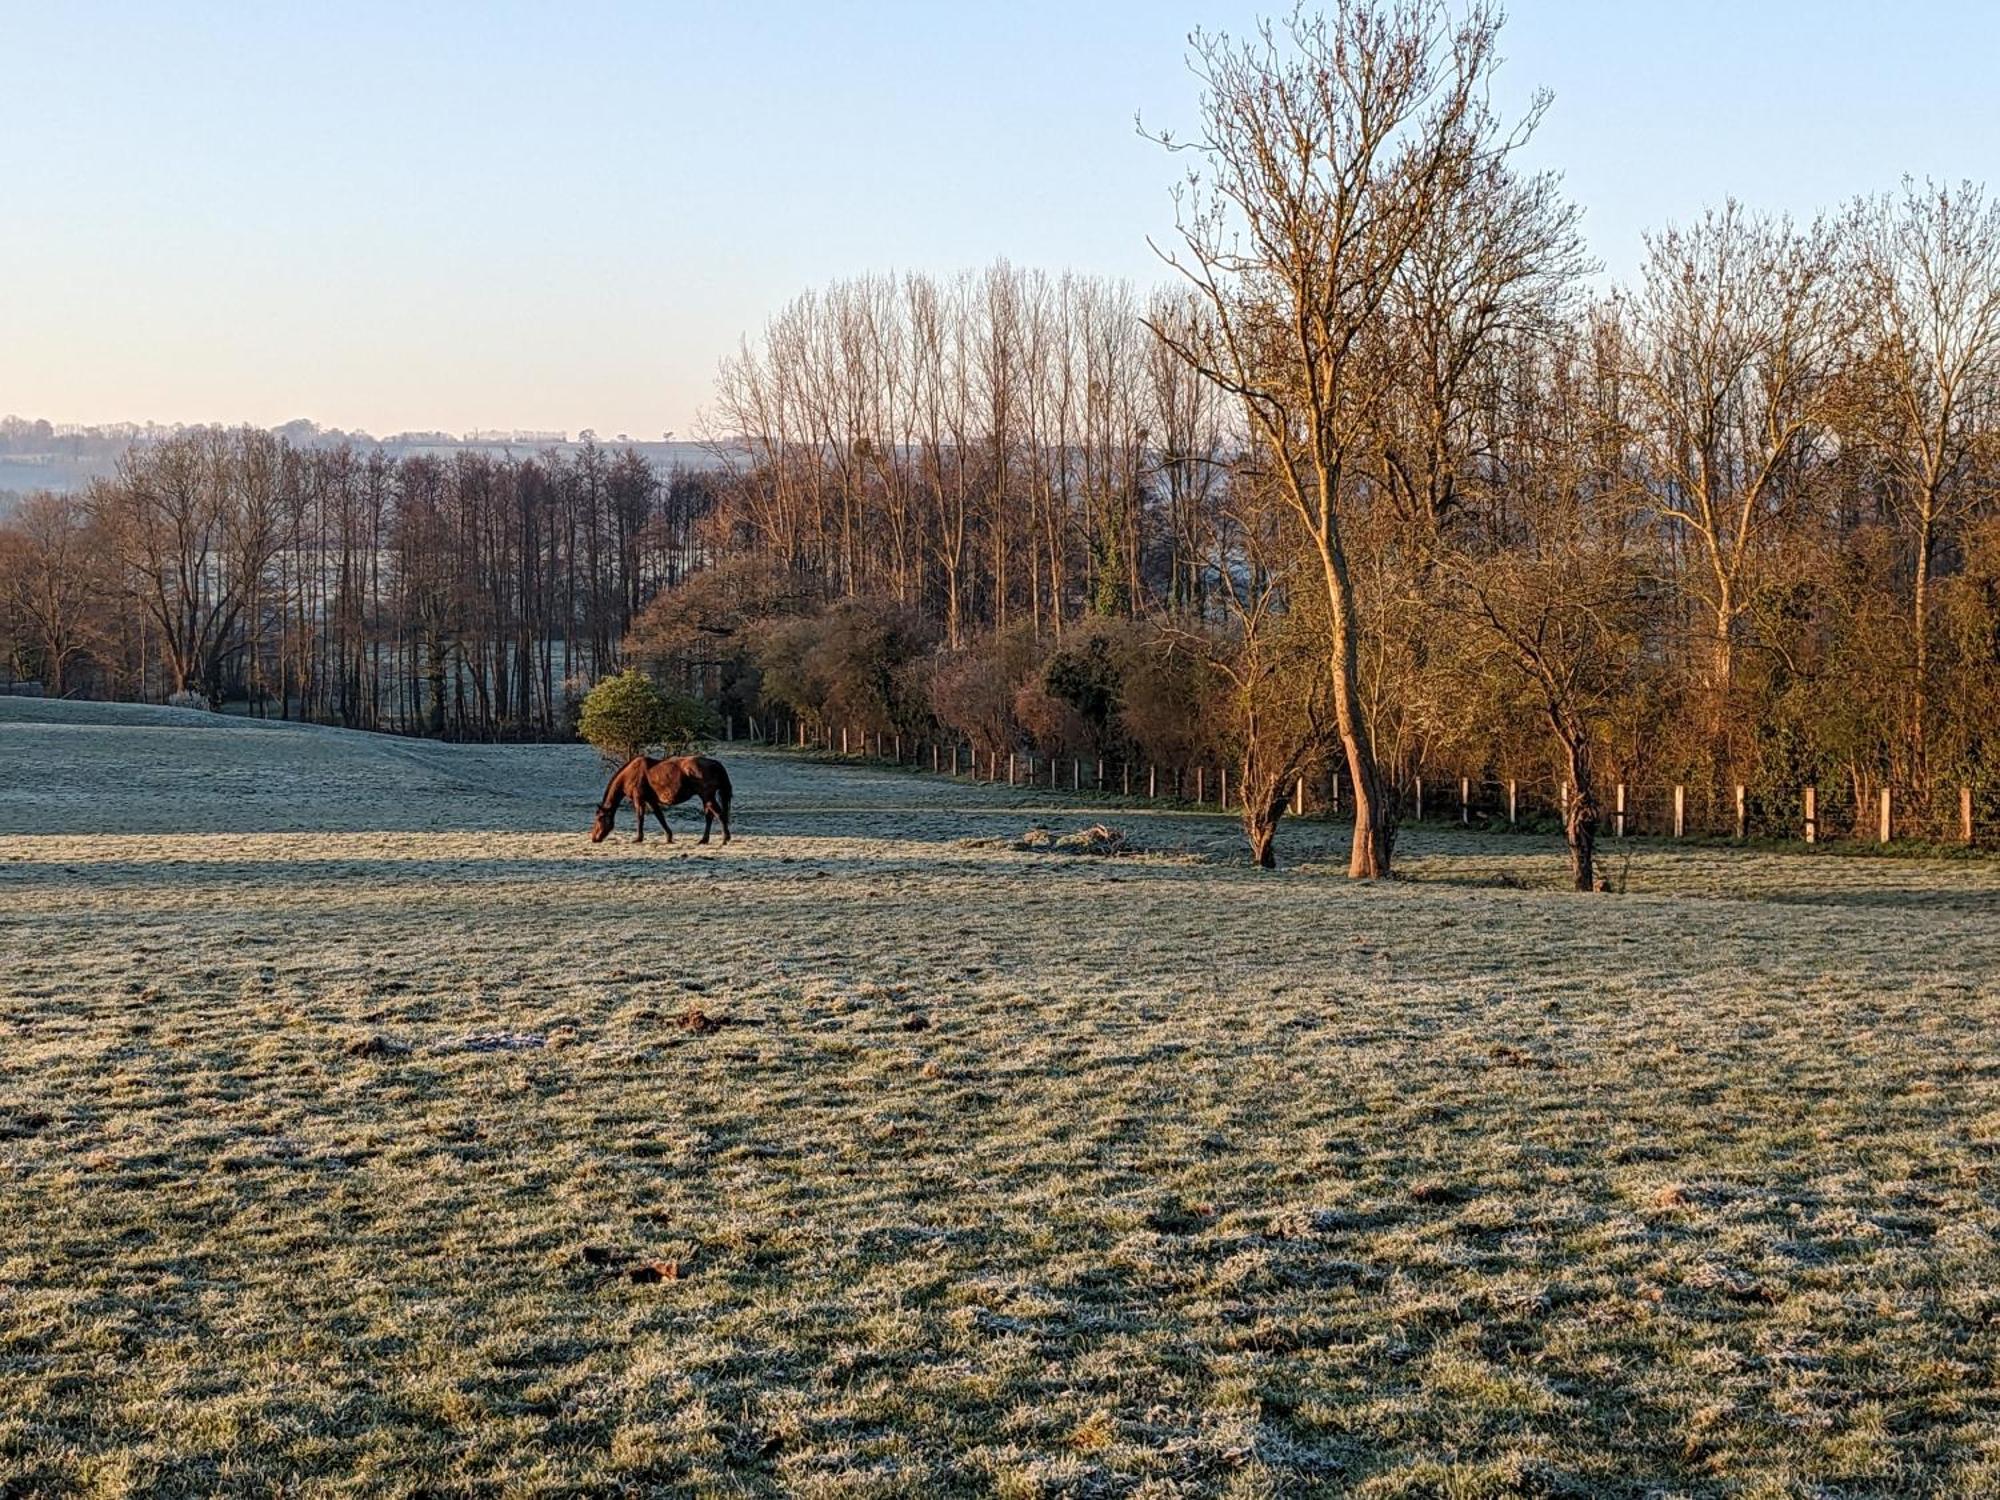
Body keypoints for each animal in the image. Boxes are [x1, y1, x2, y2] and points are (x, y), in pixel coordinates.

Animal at [592, 752, 736, 848]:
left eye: (599, 818)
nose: (594, 838)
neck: (631, 774)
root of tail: (715, 763)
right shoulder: (651, 800)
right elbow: (660, 816)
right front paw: (669, 837)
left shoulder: (639, 799)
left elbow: (640, 817)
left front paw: (638, 838)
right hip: (706, 798)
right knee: (709, 816)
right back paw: (704, 840)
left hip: (707, 796)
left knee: (719, 814)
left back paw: (725, 838)